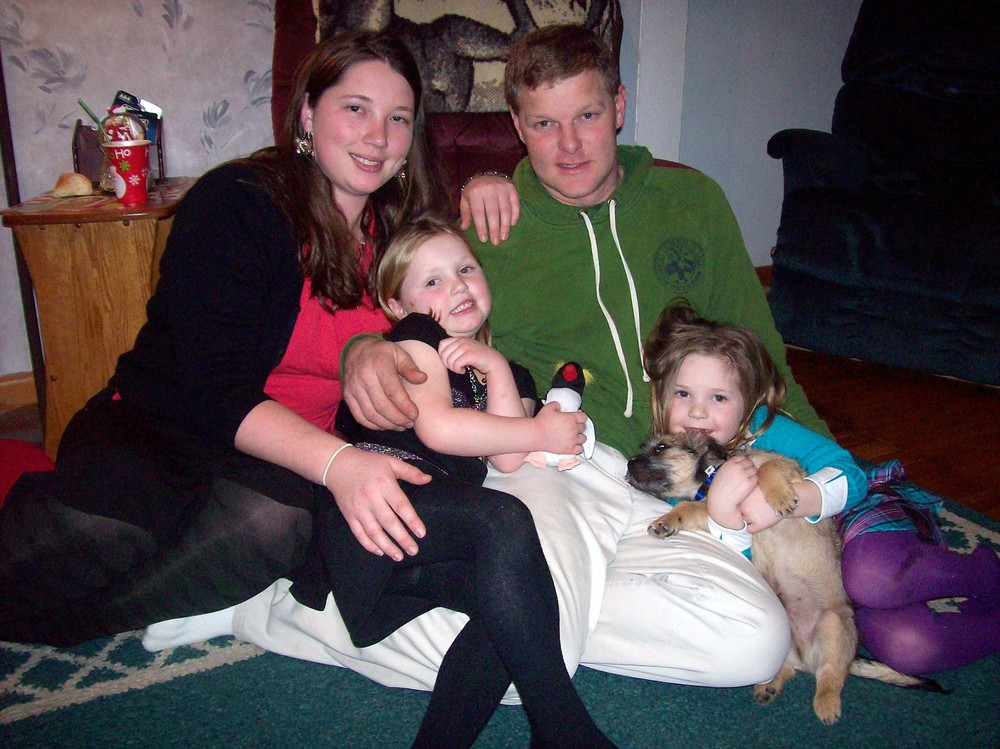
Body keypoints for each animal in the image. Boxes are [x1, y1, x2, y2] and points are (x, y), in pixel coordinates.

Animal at [626, 431, 945, 724]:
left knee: (832, 674)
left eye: (661, 447)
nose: (629, 464)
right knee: (792, 668)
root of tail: (807, 654)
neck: (712, 479)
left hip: (833, 624)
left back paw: (826, 703)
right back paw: (769, 686)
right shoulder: (711, 511)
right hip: (786, 639)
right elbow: (686, 508)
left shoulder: (784, 467)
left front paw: (779, 497)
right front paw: (666, 521)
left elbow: (766, 469)